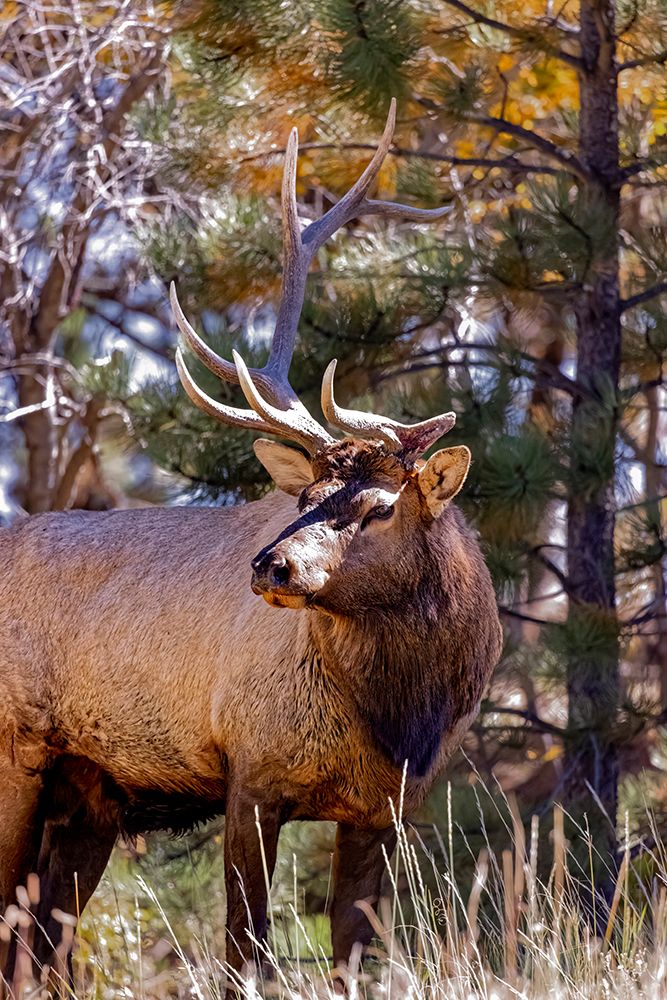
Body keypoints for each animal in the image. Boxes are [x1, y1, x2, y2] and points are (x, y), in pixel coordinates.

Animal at [0, 100, 502, 996]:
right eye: (302, 499)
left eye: (379, 508)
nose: (271, 564)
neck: (400, 716)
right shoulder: (250, 772)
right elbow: (244, 952)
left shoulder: (387, 809)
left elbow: (353, 955)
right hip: (13, 755)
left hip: (87, 792)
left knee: (41, 948)